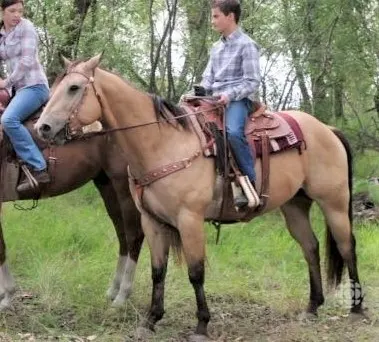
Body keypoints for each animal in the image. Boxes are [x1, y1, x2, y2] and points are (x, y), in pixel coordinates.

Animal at [0, 99, 144, 312]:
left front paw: (7, 296)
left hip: (124, 189)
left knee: (134, 236)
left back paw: (122, 296)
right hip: (107, 186)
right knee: (122, 235)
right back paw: (113, 290)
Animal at [35, 53, 366, 340]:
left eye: (74, 88)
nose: (42, 127)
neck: (162, 143)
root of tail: (327, 129)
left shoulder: (189, 220)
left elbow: (196, 272)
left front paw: (201, 325)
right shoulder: (153, 222)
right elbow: (158, 271)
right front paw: (151, 319)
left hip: (334, 203)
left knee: (347, 246)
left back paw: (357, 308)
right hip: (295, 206)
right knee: (310, 247)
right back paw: (312, 307)